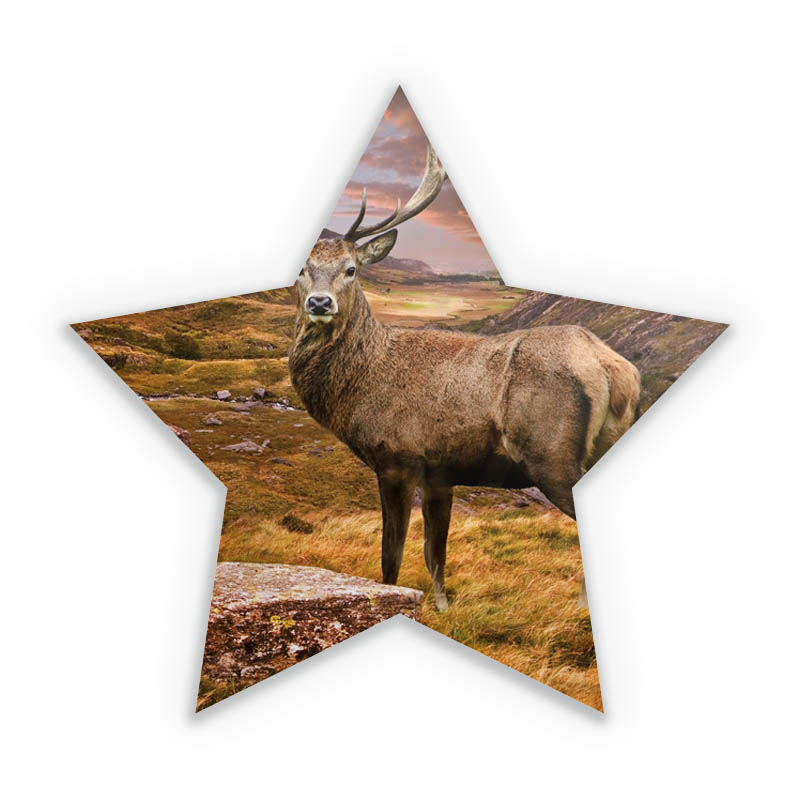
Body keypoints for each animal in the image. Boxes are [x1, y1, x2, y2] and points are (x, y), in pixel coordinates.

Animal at [288, 140, 641, 611]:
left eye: (351, 269)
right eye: (302, 269)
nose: (320, 303)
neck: (361, 385)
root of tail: (614, 368)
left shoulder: (398, 457)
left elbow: (392, 555)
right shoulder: (441, 473)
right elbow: (435, 552)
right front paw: (442, 606)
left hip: (550, 453)